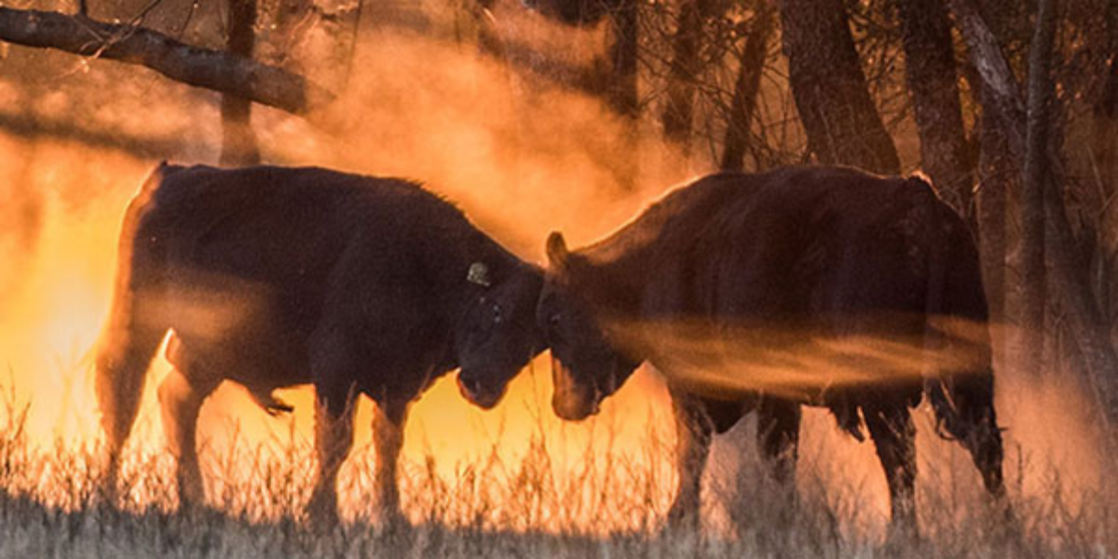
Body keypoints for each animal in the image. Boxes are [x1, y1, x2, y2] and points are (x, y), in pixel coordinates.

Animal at [95, 163, 545, 524]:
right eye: (497, 308)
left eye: (535, 341)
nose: (482, 386)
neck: (430, 266)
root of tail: (169, 176)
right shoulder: (336, 371)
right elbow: (335, 443)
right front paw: (322, 516)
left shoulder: (398, 388)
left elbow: (387, 445)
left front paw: (392, 518)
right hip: (137, 318)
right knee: (122, 396)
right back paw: (107, 496)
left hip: (208, 351)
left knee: (177, 401)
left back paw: (195, 503)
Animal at [537, 165, 1008, 531]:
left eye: (554, 318)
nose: (562, 403)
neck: (651, 261)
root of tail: (915, 193)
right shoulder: (778, 397)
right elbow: (778, 459)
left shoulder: (696, 387)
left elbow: (699, 454)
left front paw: (679, 522)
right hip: (972, 369)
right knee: (984, 445)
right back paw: (1003, 527)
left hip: (881, 388)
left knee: (900, 456)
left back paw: (903, 535)